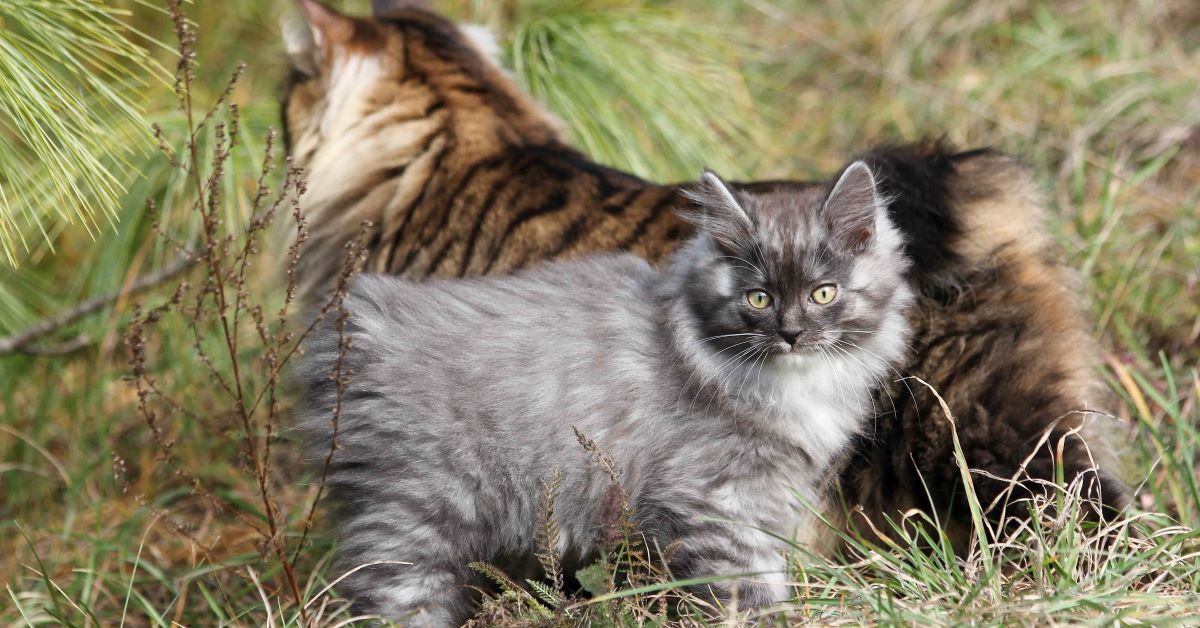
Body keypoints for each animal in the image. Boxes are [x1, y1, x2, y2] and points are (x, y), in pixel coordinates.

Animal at [297, 162, 907, 624]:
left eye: (823, 293)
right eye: (758, 298)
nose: (791, 333)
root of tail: (368, 324)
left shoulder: (766, 502)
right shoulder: (714, 500)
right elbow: (747, 594)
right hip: (421, 510)